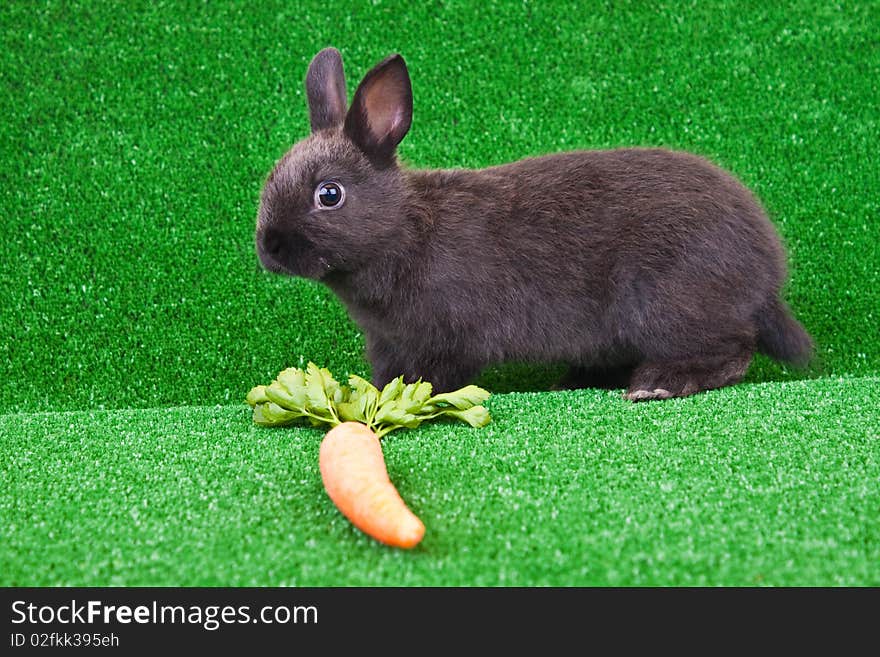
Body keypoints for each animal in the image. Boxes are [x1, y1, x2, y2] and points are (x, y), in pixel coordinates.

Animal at [253, 47, 812, 400]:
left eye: (329, 194)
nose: (269, 248)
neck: (405, 232)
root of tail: (766, 275)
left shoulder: (448, 338)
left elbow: (435, 377)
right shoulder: (387, 343)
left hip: (669, 305)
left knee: (733, 350)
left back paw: (656, 384)